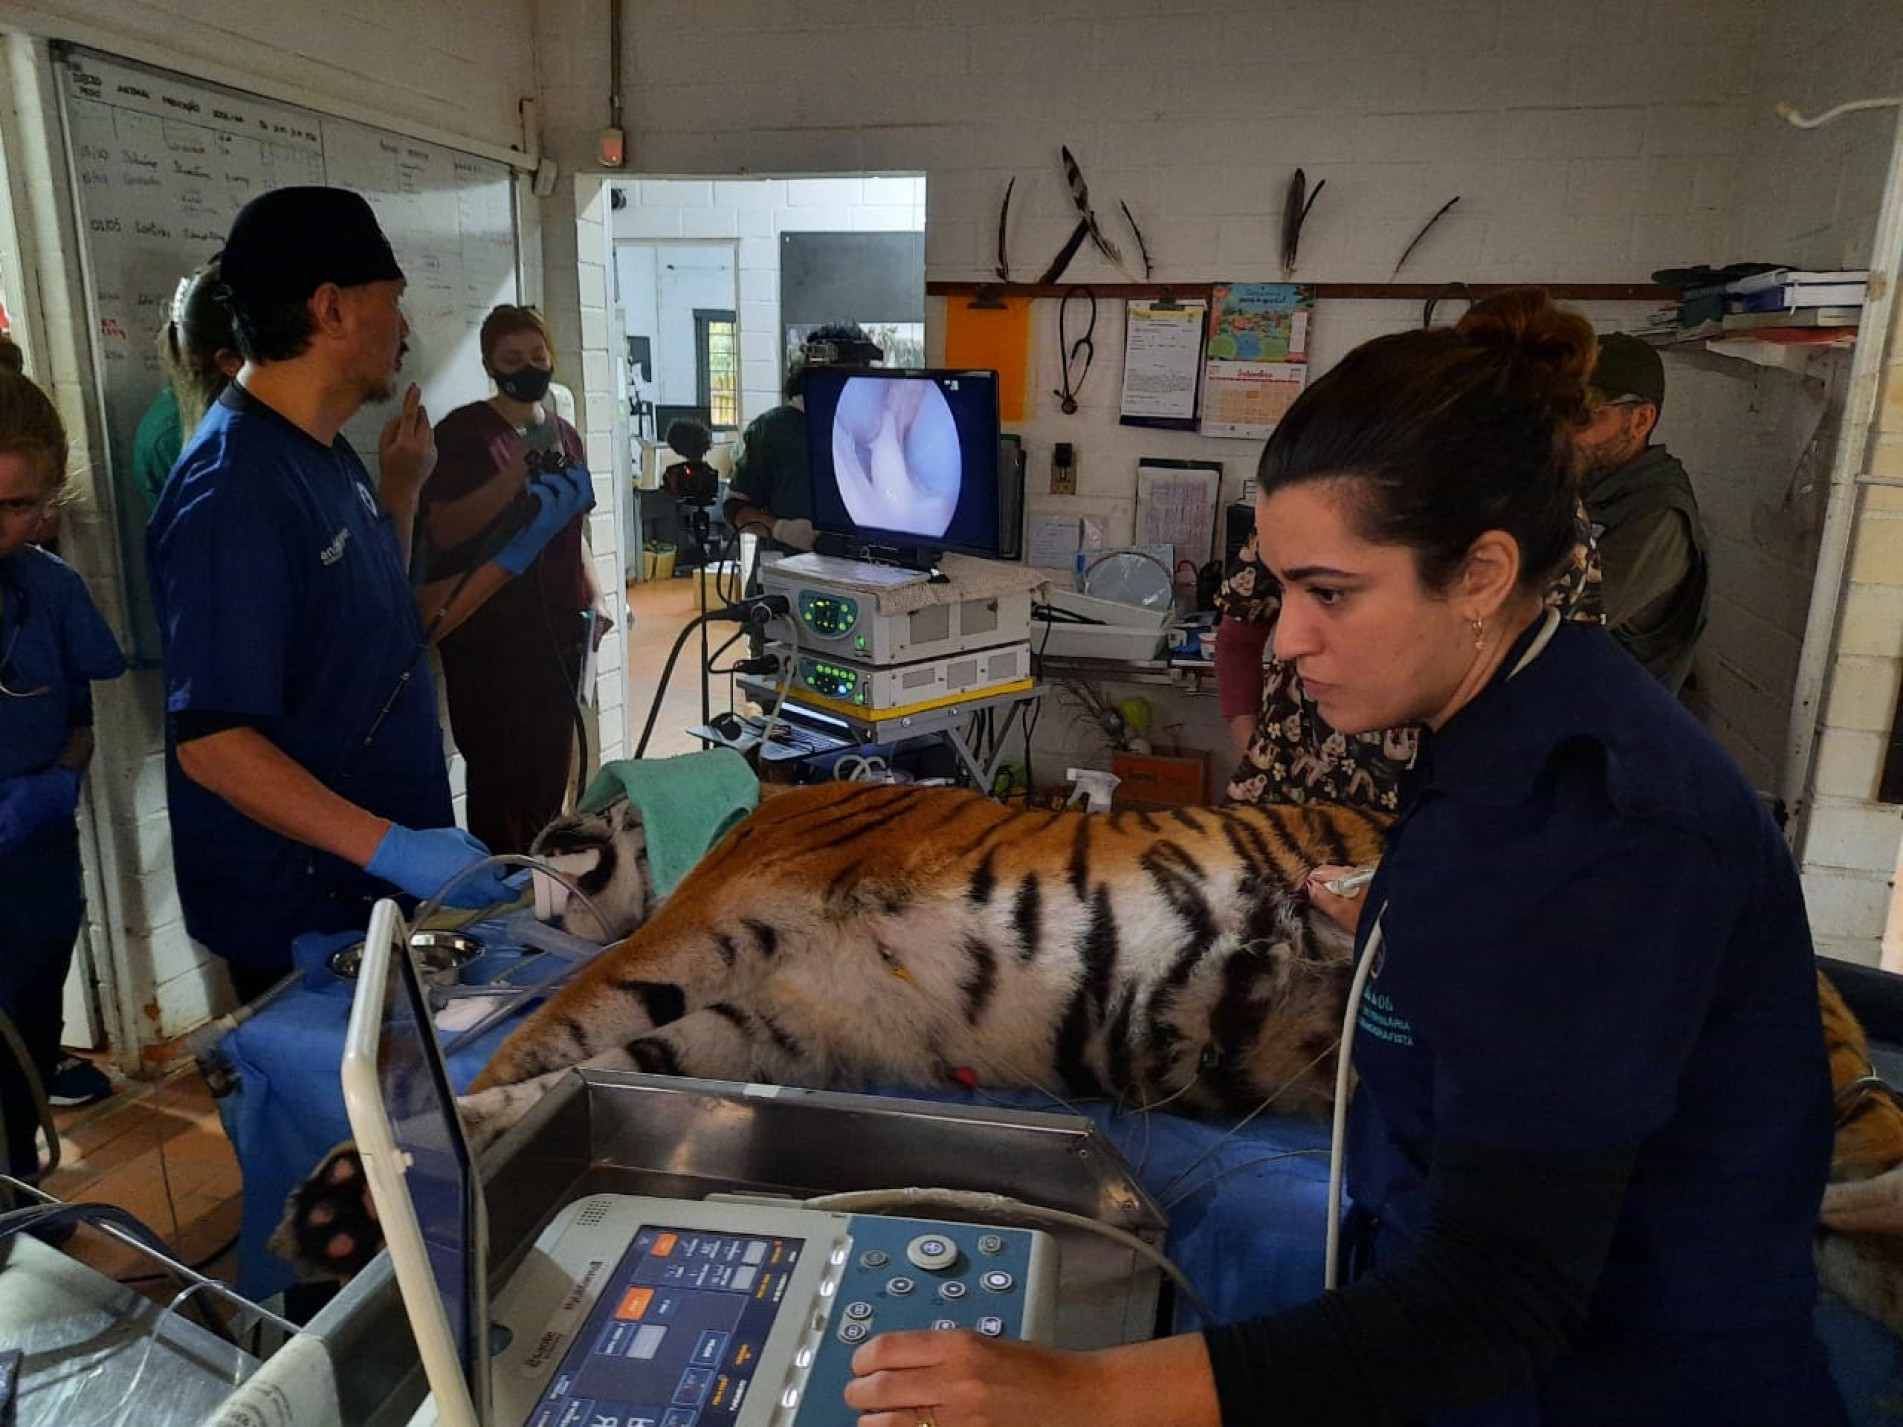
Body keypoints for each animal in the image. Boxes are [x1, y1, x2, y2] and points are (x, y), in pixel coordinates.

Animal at [275, 787, 1385, 1278]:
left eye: (581, 799)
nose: (533, 830)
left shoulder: (701, 922)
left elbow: (556, 1024)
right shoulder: (778, 1023)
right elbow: (597, 1066)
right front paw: (359, 1198)